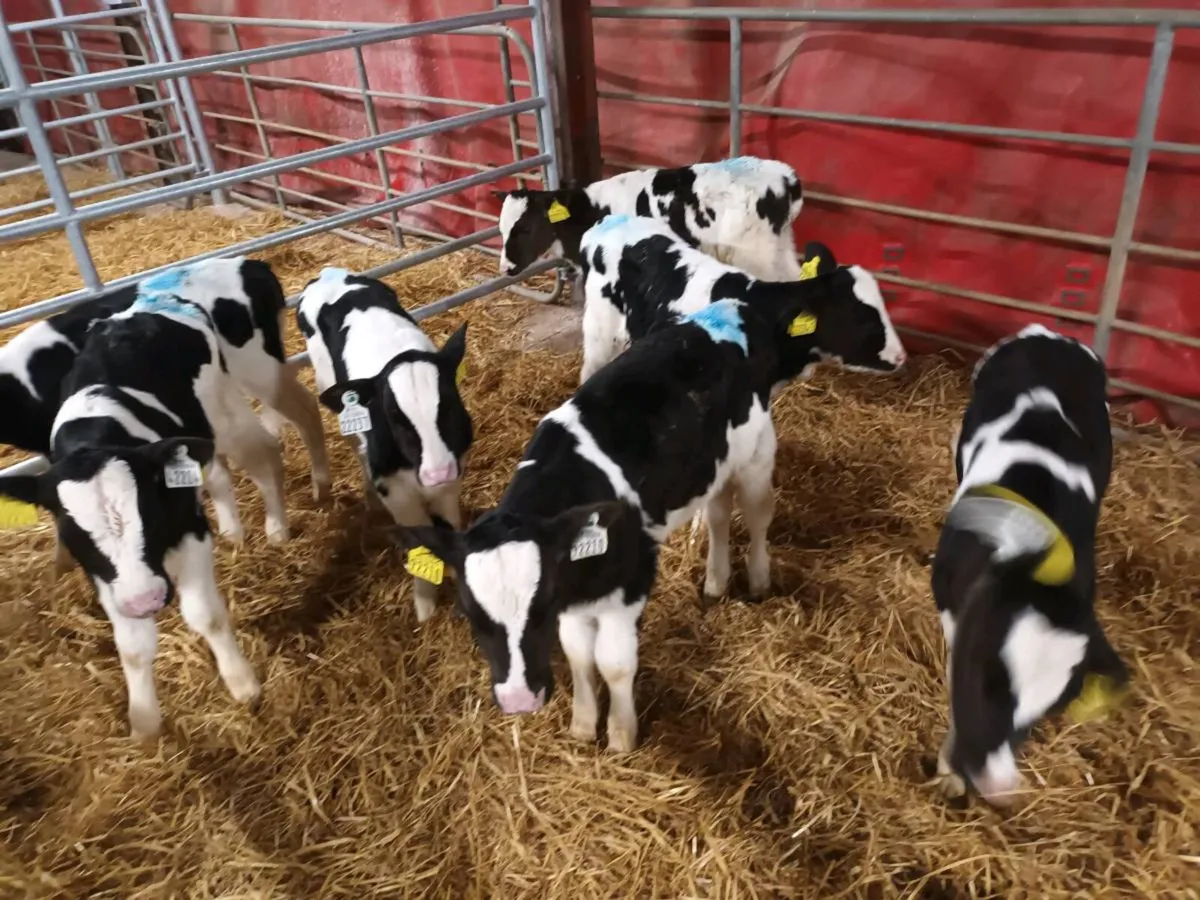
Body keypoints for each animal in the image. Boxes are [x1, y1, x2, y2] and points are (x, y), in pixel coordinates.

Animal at [0, 288, 290, 739]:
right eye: (74, 532)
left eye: (148, 512)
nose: (145, 601)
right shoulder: (106, 574)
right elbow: (133, 648)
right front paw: (144, 724)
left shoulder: (189, 530)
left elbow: (205, 615)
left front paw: (242, 683)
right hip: (196, 442)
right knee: (218, 476)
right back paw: (233, 532)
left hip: (225, 411)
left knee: (262, 456)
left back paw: (276, 526)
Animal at [295, 267, 472, 623]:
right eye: (393, 416)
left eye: (448, 405)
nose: (437, 472)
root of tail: (330, 273)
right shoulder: (398, 493)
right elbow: (419, 544)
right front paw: (425, 606)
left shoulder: (452, 478)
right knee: (356, 448)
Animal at [390, 265, 908, 753]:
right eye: (472, 616)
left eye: (537, 612)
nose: (518, 700)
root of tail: (735, 311)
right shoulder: (574, 592)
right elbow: (578, 656)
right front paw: (583, 725)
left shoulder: (630, 584)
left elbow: (614, 664)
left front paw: (621, 734)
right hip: (713, 464)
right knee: (720, 516)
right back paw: (715, 582)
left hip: (757, 452)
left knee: (759, 516)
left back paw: (758, 580)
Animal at [495, 157, 805, 286]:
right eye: (501, 229)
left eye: (524, 228)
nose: (506, 268)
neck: (591, 210)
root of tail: (785, 176)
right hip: (778, 246)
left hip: (755, 253)